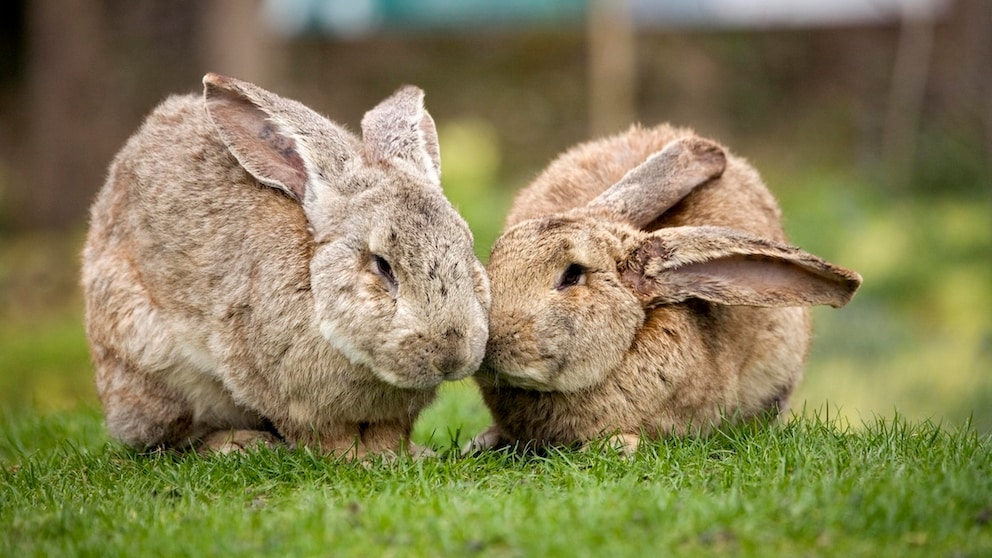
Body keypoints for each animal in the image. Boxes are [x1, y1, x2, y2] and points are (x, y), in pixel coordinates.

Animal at [83, 74, 490, 460]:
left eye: (467, 248)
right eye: (382, 265)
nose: (450, 354)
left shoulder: (392, 414)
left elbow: (389, 433)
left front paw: (404, 456)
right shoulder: (287, 396)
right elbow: (323, 435)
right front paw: (356, 460)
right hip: (152, 369)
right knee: (171, 438)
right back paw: (240, 445)